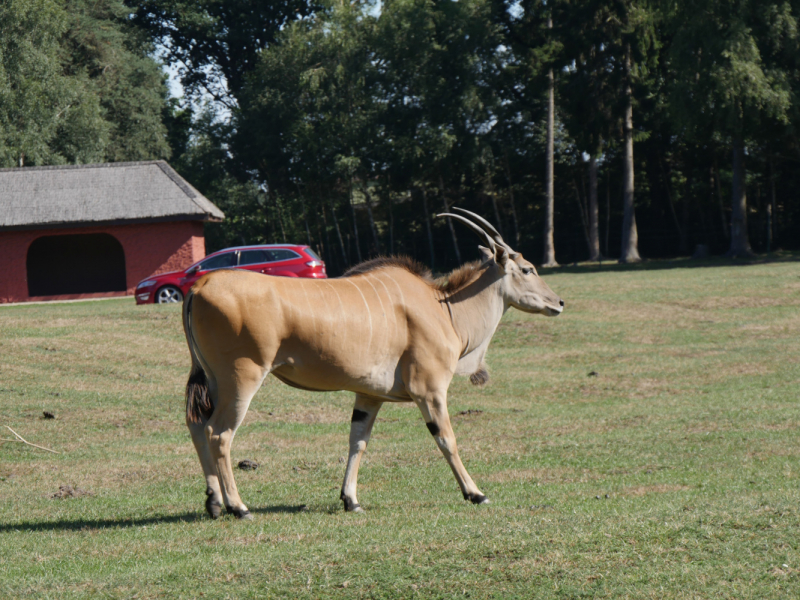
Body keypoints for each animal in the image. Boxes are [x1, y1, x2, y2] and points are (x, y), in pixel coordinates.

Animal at [184, 209, 564, 516]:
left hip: (214, 380)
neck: (443, 307)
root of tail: (199, 286)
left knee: (196, 425)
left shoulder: (368, 396)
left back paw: (214, 503)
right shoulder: (429, 391)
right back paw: (238, 507)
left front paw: (350, 500)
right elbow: (447, 439)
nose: (558, 302)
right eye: (527, 269)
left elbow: (358, 441)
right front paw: (475, 493)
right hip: (242, 379)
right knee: (219, 433)